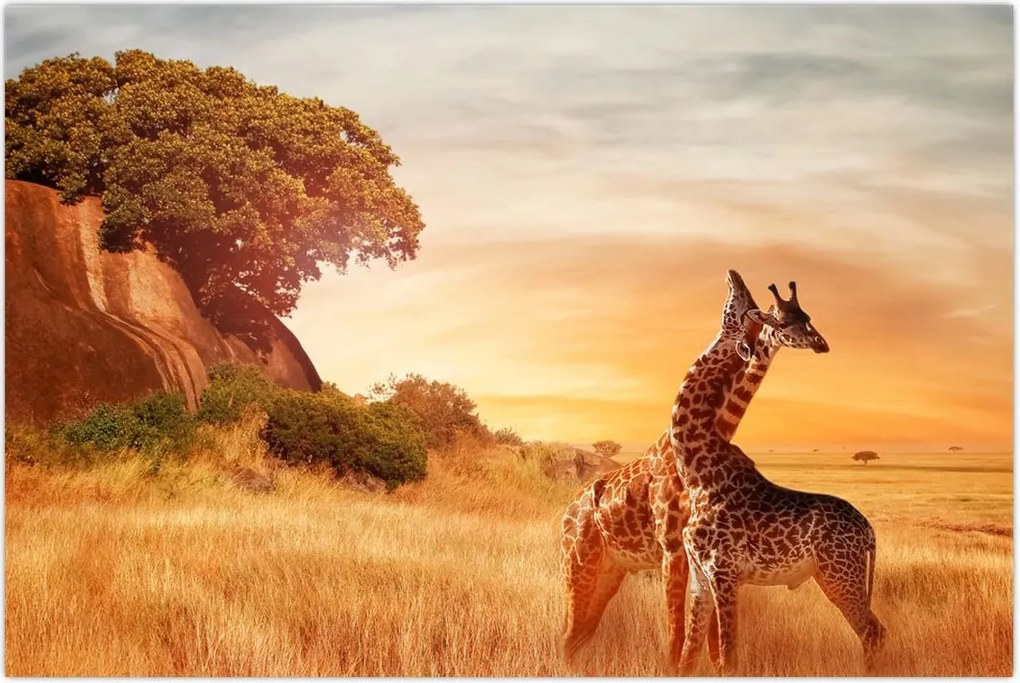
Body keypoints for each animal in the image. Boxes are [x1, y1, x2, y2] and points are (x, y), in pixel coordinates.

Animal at [559, 270, 800, 669]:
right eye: (745, 305)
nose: (734, 276)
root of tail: (566, 512)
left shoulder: (704, 553)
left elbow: (709, 639)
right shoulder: (673, 547)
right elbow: (677, 631)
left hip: (610, 571)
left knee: (579, 635)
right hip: (579, 564)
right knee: (568, 635)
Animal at [667, 277, 886, 675]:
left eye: (741, 307)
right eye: (783, 319)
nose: (821, 343)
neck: (696, 472)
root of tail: (869, 531)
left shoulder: (724, 572)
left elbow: (728, 658)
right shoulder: (699, 578)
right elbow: (688, 658)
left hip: (839, 573)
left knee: (872, 631)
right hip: (835, 574)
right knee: (874, 630)